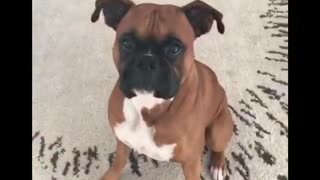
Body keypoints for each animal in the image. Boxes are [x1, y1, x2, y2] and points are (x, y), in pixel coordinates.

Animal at [91, 0, 234, 180]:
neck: (147, 106)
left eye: (174, 49)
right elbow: (118, 163)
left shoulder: (192, 163)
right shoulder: (122, 141)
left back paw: (218, 165)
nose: (146, 61)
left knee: (219, 147)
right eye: (126, 44)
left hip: (218, 130)